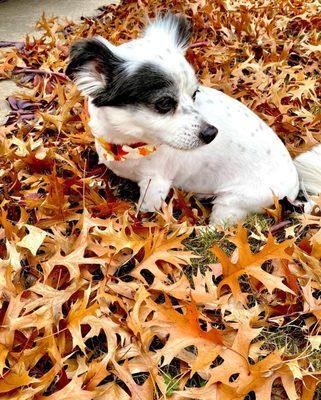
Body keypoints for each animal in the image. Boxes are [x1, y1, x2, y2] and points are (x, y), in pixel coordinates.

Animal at [64, 13, 320, 225]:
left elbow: (144, 214)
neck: (127, 146)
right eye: (165, 103)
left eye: (194, 94)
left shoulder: (154, 186)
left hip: (234, 202)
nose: (211, 133)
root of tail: (295, 188)